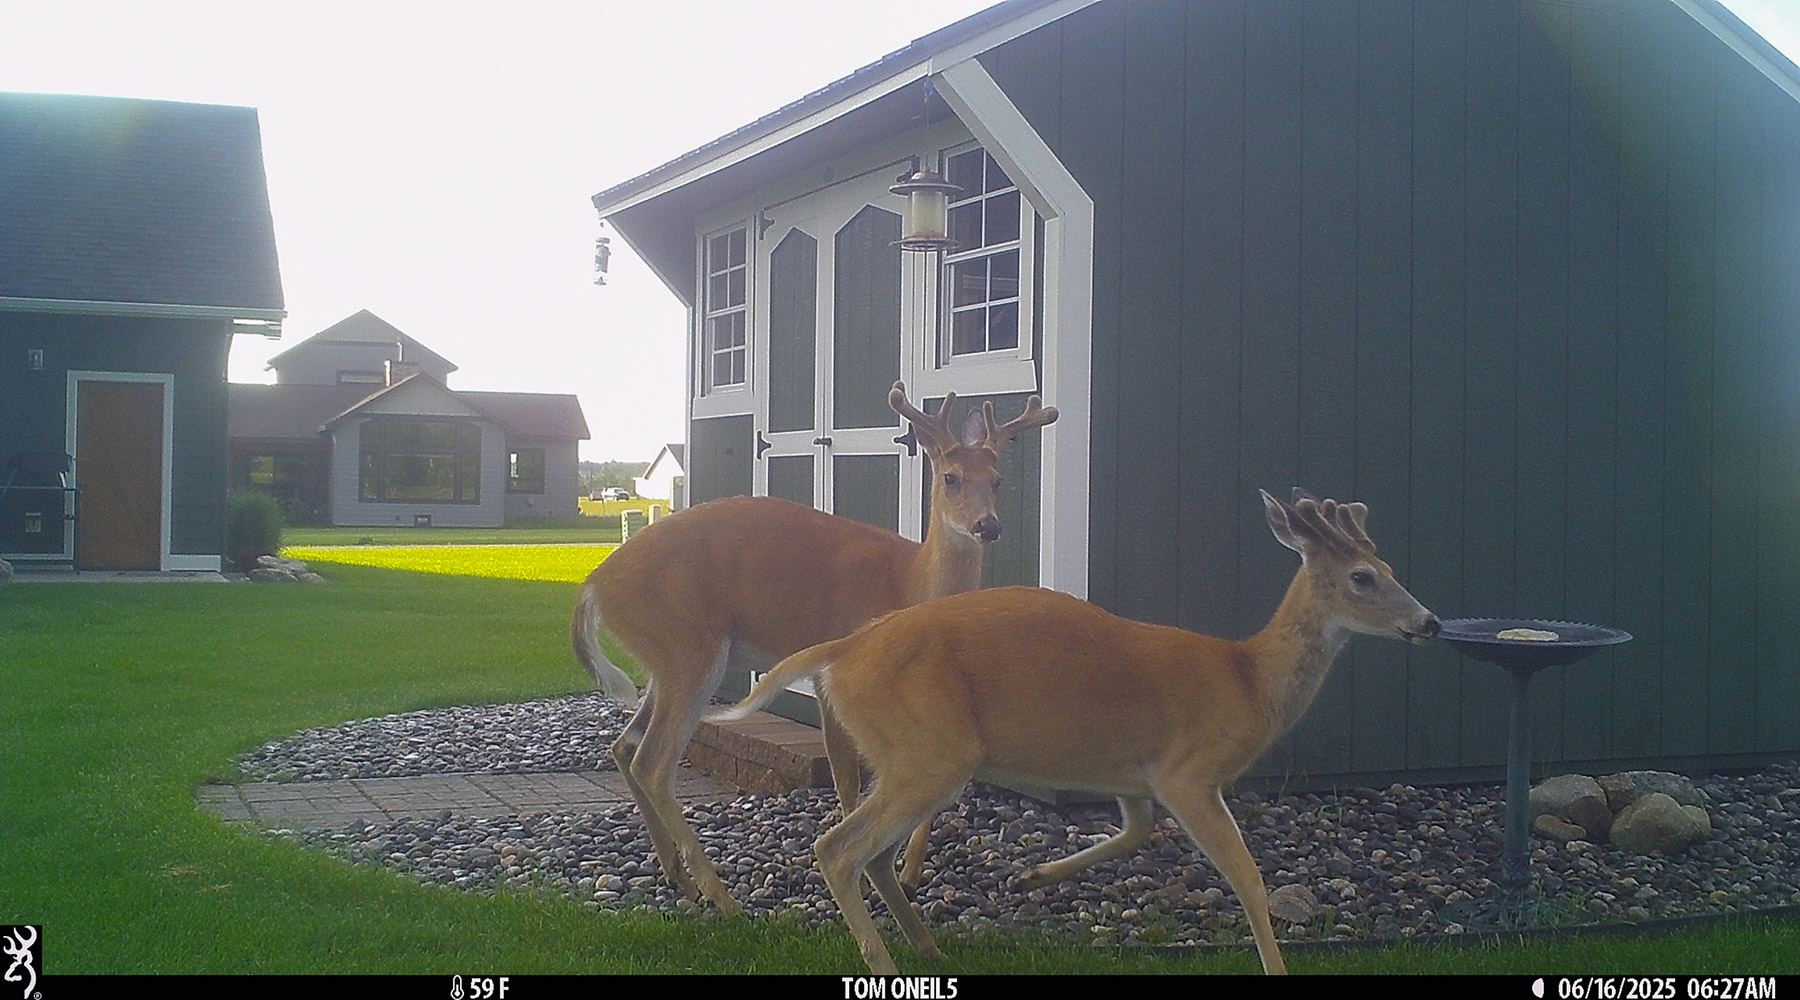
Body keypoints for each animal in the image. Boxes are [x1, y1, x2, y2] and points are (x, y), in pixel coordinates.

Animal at [571, 381, 1057, 915]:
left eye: (997, 479)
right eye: (950, 477)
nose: (987, 526)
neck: (908, 584)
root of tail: (594, 584)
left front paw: (910, 875)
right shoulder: (833, 673)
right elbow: (847, 776)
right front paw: (868, 883)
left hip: (665, 659)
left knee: (624, 746)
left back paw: (678, 875)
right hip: (687, 647)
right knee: (653, 763)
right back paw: (723, 898)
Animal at [712, 489, 1440, 974]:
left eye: (1392, 571)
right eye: (1363, 578)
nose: (1429, 623)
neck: (1249, 679)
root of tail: (843, 650)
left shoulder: (1135, 776)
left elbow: (1135, 834)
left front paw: (1034, 876)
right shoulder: (1190, 770)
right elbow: (1249, 879)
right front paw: (1276, 967)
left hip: (913, 755)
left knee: (875, 854)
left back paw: (928, 945)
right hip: (930, 749)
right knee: (839, 847)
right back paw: (886, 964)